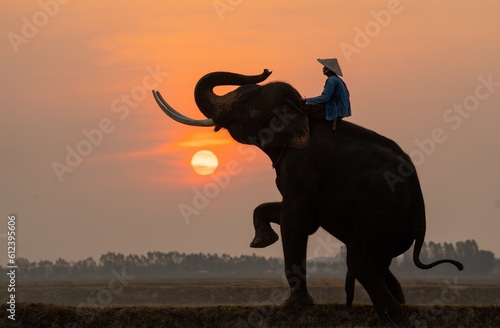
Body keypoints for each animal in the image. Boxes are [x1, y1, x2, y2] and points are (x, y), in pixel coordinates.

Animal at [150, 70, 462, 328]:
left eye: (244, 100)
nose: (265, 69)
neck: (300, 110)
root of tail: (420, 214)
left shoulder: (302, 165)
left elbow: (296, 219)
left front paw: (294, 305)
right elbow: (283, 211)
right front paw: (262, 240)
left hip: (381, 215)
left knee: (362, 265)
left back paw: (397, 315)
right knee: (374, 267)